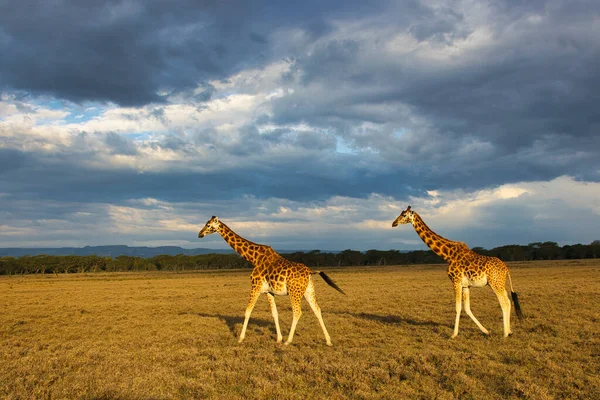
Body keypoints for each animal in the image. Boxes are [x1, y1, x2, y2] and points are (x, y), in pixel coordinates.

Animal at [198, 217, 344, 346]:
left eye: (208, 225)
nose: (200, 234)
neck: (254, 258)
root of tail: (309, 272)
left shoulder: (255, 286)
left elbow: (247, 311)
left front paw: (240, 338)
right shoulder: (268, 291)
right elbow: (275, 314)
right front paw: (278, 338)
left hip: (294, 292)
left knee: (297, 312)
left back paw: (288, 341)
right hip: (308, 291)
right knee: (317, 310)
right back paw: (328, 341)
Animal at [392, 206, 524, 338]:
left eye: (404, 215)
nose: (394, 223)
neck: (448, 255)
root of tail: (506, 269)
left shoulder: (456, 281)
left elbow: (457, 307)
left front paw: (453, 334)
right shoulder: (466, 285)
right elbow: (467, 308)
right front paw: (485, 331)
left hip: (495, 283)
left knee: (504, 302)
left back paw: (505, 334)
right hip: (501, 283)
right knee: (508, 301)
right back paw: (510, 331)